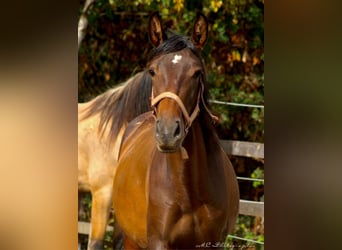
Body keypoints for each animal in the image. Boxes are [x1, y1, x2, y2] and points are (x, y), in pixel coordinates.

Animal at [113, 13, 239, 250]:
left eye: (197, 73)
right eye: (153, 71)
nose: (168, 132)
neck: (189, 191)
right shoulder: (158, 242)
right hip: (131, 240)